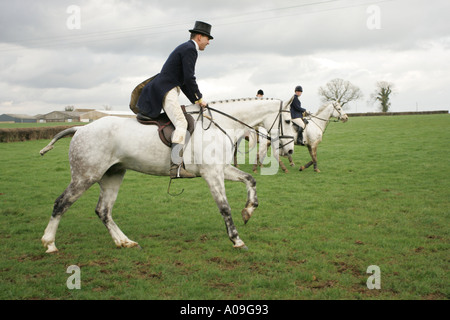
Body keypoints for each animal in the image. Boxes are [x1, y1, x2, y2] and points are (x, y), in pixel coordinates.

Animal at [39, 99, 296, 254]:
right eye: (289, 121)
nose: (290, 150)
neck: (220, 125)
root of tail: (81, 128)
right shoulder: (212, 174)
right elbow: (224, 207)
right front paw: (236, 239)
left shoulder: (222, 169)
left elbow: (250, 180)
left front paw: (248, 210)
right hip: (85, 176)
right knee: (61, 204)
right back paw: (49, 243)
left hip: (112, 175)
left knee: (103, 210)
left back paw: (124, 241)